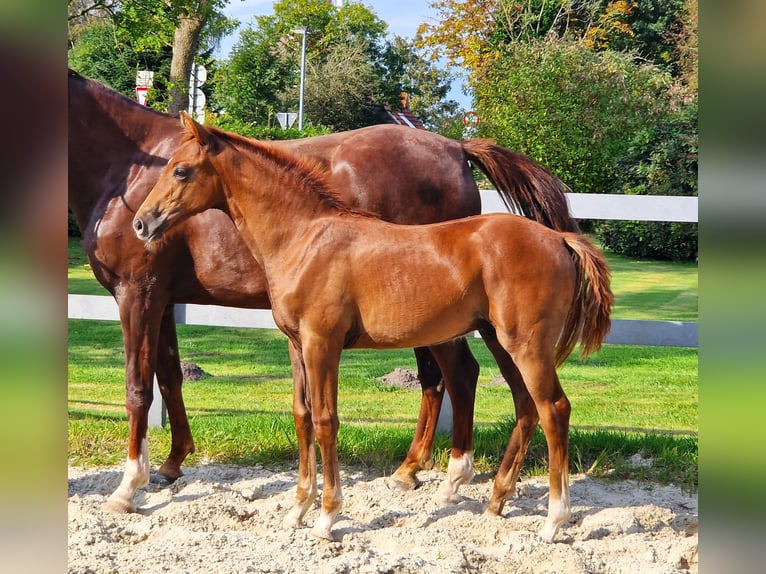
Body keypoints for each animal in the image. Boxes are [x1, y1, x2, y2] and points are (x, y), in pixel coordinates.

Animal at [67, 70, 584, 516]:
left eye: (180, 172)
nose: (143, 223)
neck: (122, 169)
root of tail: (456, 146)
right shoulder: (165, 299)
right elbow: (171, 377)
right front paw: (174, 462)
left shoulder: (138, 293)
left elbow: (138, 387)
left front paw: (128, 487)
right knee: (473, 385)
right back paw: (445, 478)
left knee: (456, 379)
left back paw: (437, 476)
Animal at [135, 115, 616, 548]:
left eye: (181, 170)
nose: (142, 222)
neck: (305, 236)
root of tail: (559, 240)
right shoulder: (296, 346)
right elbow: (302, 416)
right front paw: (297, 510)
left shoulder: (322, 343)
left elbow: (326, 420)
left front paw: (327, 517)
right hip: (501, 340)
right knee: (524, 404)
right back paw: (496, 501)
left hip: (526, 344)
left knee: (554, 409)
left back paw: (553, 522)